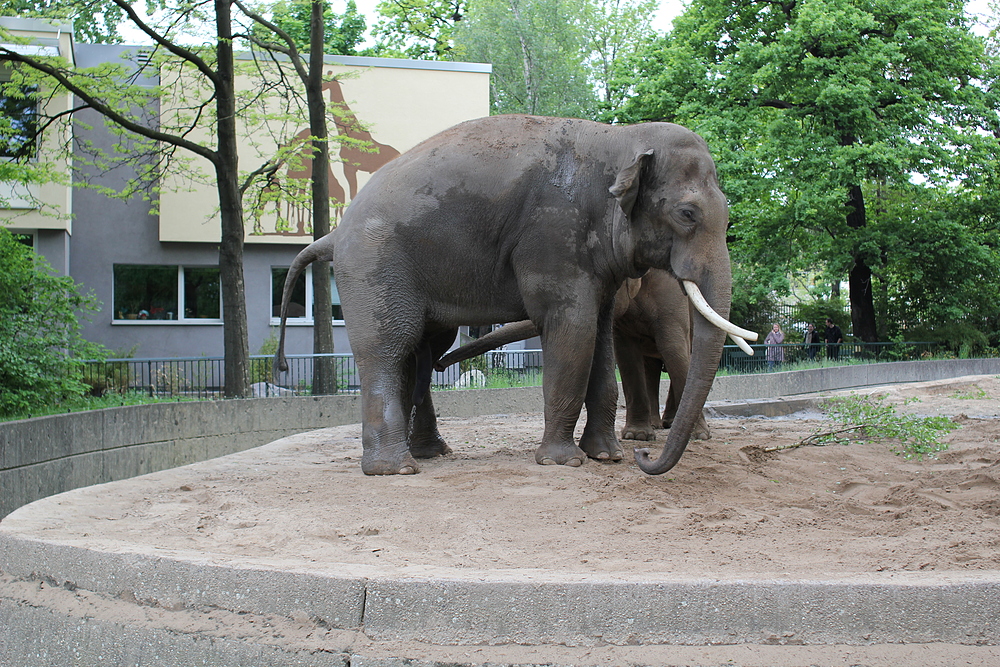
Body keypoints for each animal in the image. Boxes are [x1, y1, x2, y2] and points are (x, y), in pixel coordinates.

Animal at [434, 268, 716, 446]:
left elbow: (674, 348)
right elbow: (626, 356)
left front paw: (699, 437)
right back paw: (659, 425)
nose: (439, 365)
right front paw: (636, 437)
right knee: (651, 366)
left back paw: (671, 424)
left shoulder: (670, 294)